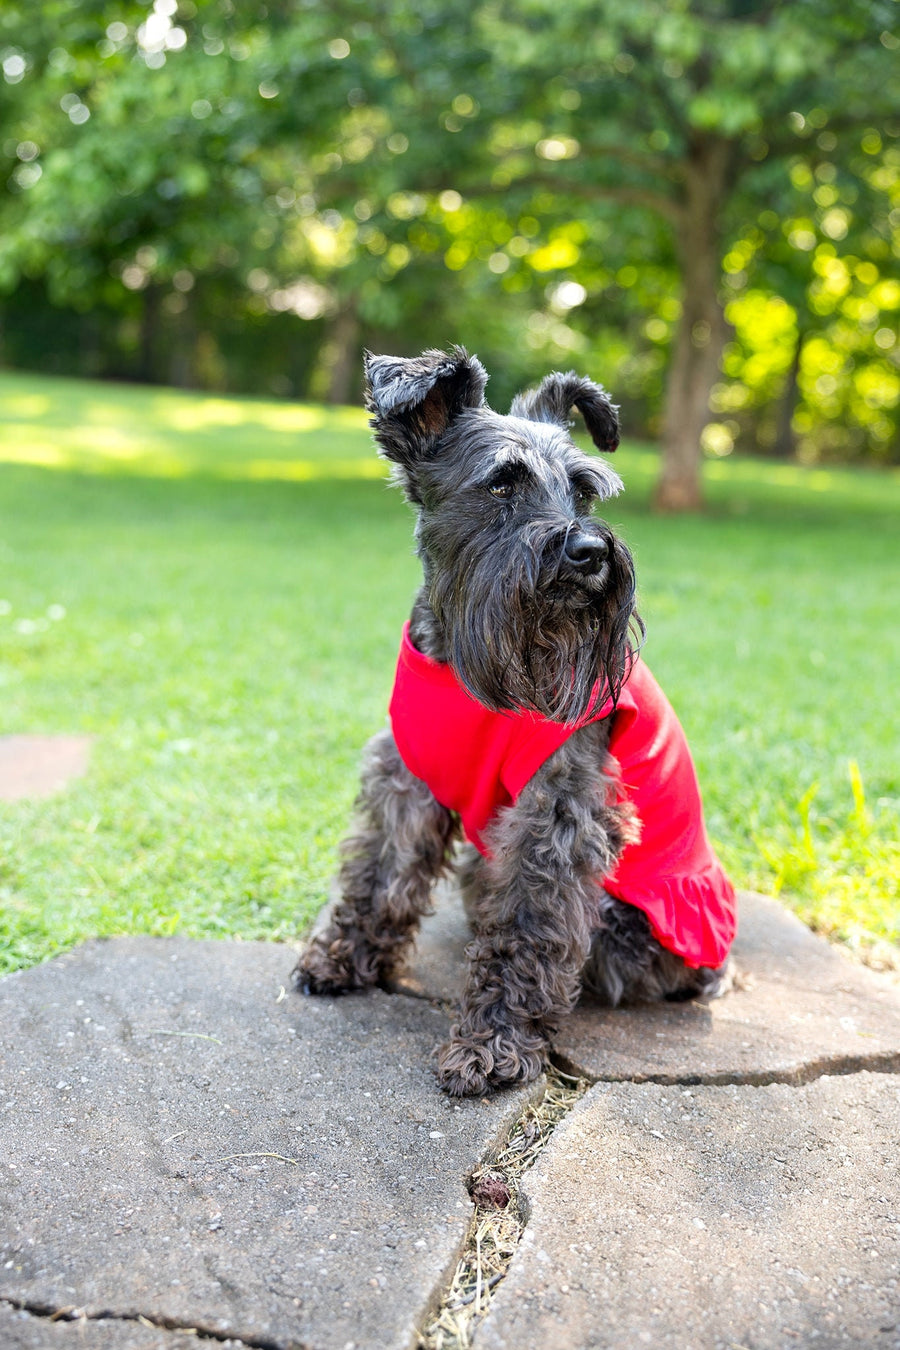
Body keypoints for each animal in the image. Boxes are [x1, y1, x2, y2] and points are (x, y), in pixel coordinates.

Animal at [296, 345, 739, 1096]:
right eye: (502, 484)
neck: (466, 665)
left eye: (584, 492)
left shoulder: (555, 813)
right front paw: (342, 959)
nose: (590, 552)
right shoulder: (404, 778)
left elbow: (529, 927)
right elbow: (381, 872)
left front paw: (493, 1045)